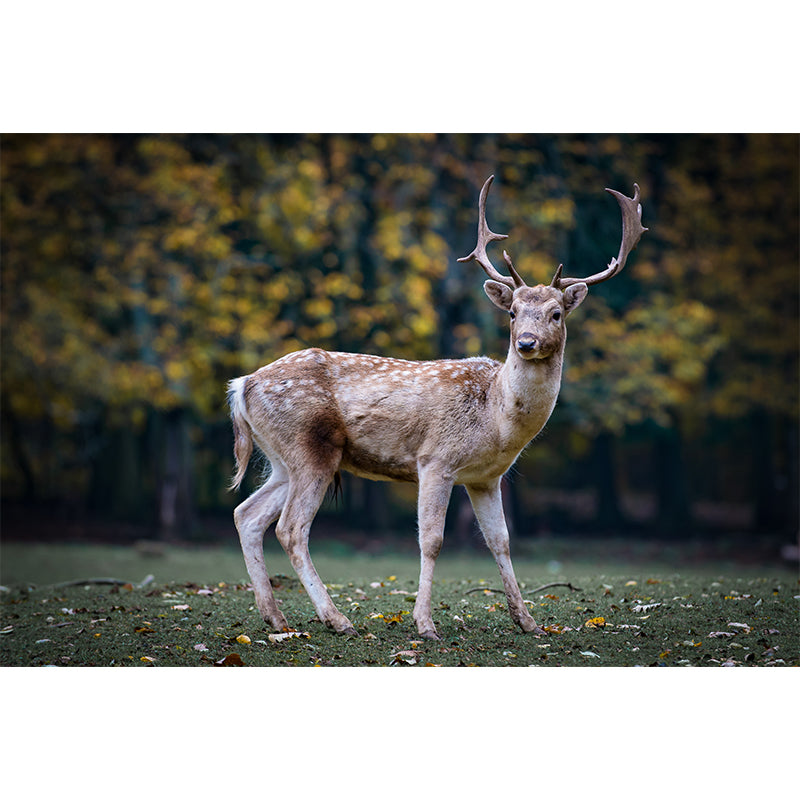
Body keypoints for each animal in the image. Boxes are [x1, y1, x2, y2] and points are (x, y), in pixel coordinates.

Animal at [228, 175, 647, 640]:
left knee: (247, 514)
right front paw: (425, 624)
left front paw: (529, 622)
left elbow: (501, 541)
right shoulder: (435, 460)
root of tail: (241, 386)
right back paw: (337, 620)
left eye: (556, 313)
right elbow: (432, 540)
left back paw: (275, 617)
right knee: (290, 528)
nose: (526, 342)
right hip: (310, 447)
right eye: (513, 312)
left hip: (281, 458)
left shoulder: (485, 478)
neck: (496, 419)